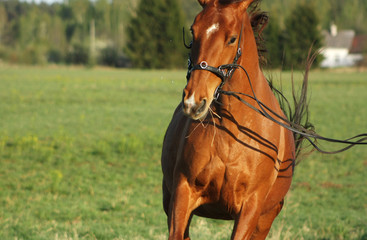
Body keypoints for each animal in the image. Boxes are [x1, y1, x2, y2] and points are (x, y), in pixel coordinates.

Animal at [162, 0, 300, 239]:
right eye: (193, 31)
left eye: (232, 38)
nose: (193, 100)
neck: (230, 133)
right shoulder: (182, 194)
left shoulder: (250, 209)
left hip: (266, 218)